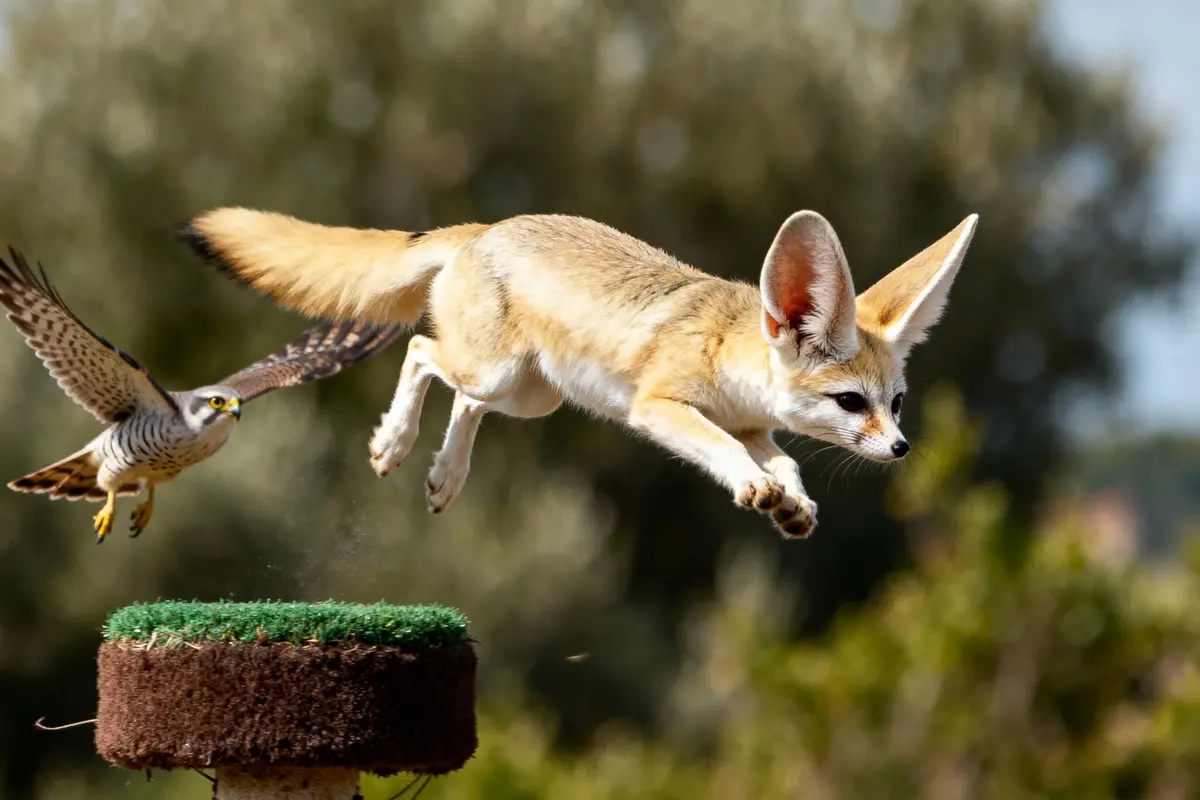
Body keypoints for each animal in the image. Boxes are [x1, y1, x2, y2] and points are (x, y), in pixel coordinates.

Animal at [177, 207, 977, 539]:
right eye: (850, 402)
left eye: (896, 401)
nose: (901, 448)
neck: (729, 343)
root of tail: (485, 228)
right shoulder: (662, 408)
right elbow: (723, 450)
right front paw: (757, 489)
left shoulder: (758, 428)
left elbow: (787, 463)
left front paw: (794, 504)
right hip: (497, 371)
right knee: (420, 353)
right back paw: (395, 445)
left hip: (530, 397)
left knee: (463, 402)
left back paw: (444, 477)